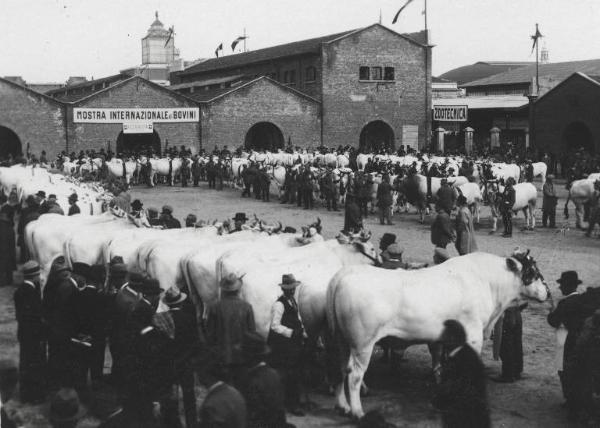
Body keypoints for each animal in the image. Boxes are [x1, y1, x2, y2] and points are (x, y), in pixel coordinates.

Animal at [328, 249, 548, 416]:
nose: (548, 291)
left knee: (340, 369)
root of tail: (345, 273)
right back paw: (357, 411)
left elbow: (444, 362)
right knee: (354, 375)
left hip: (341, 341)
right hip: (362, 344)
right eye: (533, 272)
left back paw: (343, 406)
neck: (488, 281)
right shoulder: (473, 335)